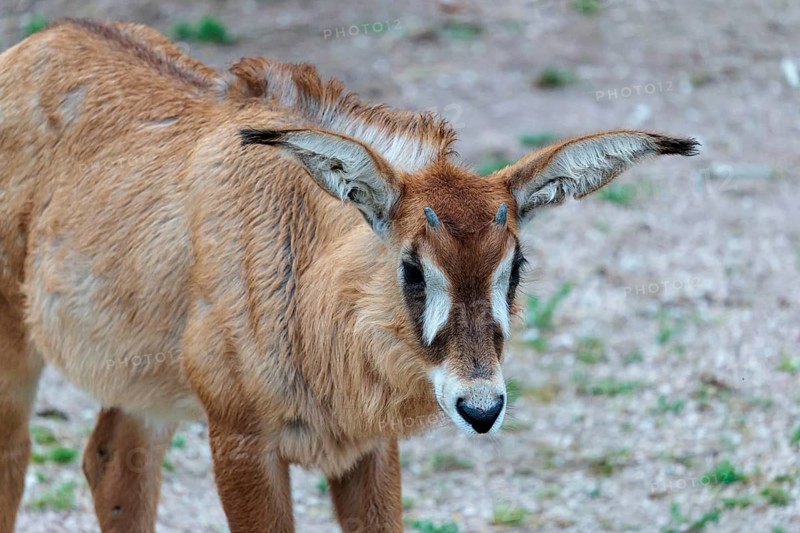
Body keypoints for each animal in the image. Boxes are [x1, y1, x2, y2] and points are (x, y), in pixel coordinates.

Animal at [0, 19, 698, 533]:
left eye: (516, 264)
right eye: (412, 266)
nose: (481, 408)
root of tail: (40, 40)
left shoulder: (369, 450)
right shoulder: (241, 442)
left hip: (148, 389)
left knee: (114, 462)